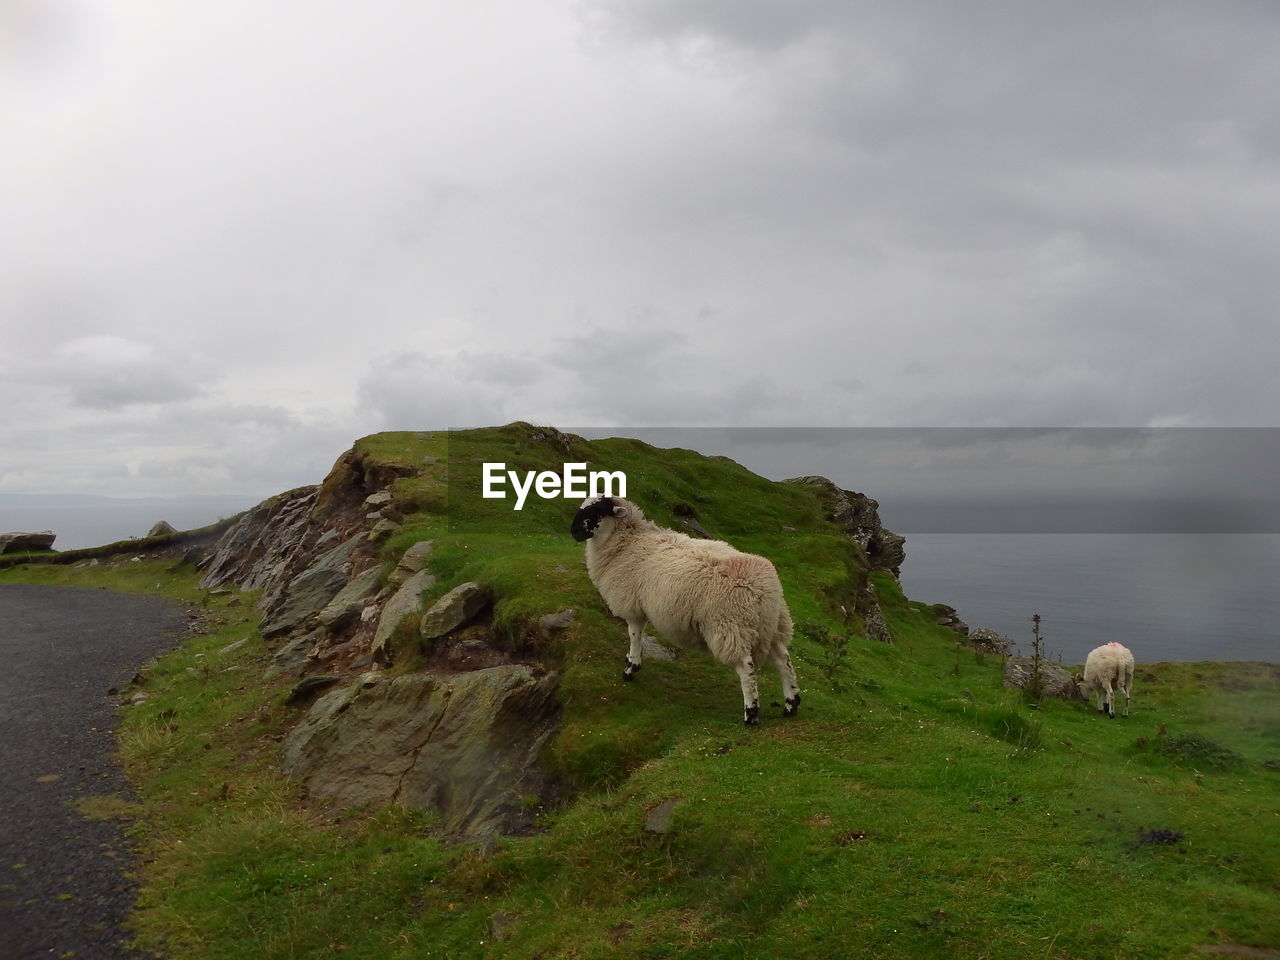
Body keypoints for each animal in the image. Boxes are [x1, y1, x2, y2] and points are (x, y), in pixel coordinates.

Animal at [570, 496, 798, 727]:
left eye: (596, 511)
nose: (573, 532)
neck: (627, 541)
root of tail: (763, 591)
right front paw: (630, 660)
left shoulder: (632, 605)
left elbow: (634, 636)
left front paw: (631, 668)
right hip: (772, 625)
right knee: (783, 660)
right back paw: (791, 704)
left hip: (729, 626)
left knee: (746, 668)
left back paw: (751, 713)